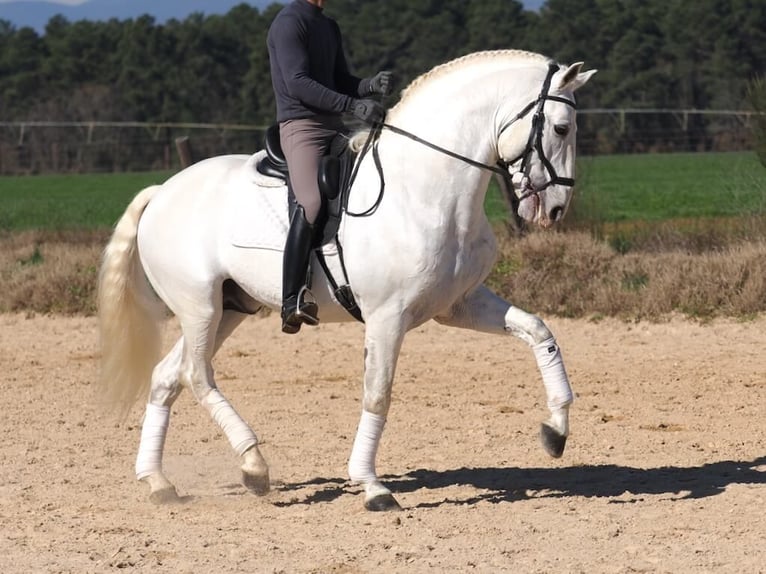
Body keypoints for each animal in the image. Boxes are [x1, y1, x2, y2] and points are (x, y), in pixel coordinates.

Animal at [97, 49, 600, 512]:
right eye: (561, 128)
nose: (555, 209)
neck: (424, 187)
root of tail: (162, 190)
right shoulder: (387, 317)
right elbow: (378, 394)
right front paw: (372, 486)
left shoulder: (458, 305)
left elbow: (539, 331)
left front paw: (556, 430)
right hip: (199, 306)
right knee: (197, 375)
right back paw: (254, 465)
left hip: (227, 310)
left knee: (167, 376)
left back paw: (159, 482)